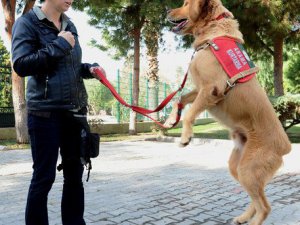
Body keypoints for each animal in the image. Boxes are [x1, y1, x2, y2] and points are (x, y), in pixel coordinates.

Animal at [165, 0, 292, 225]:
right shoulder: (200, 89)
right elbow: (179, 99)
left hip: (248, 170)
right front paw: (171, 120)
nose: (167, 10)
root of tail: (286, 147)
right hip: (238, 167)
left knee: (265, 207)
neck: (214, 30)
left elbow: (190, 112)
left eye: (186, 3)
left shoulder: (211, 88)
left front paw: (186, 136)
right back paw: (243, 217)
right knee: (256, 199)